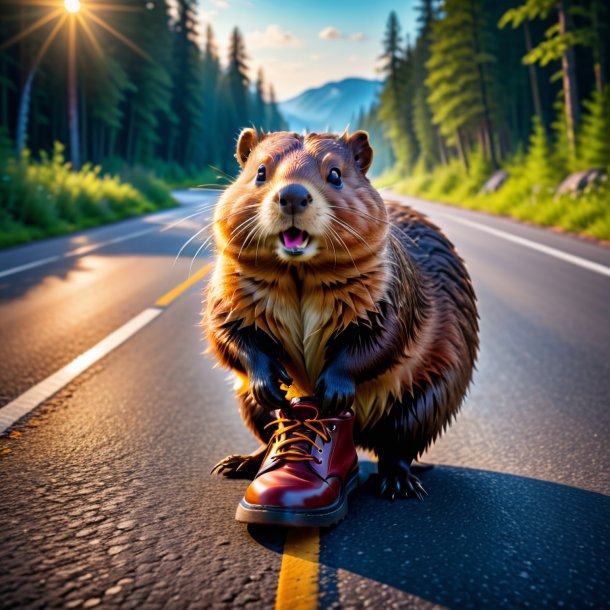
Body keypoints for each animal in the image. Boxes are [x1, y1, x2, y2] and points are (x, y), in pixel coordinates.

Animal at [207, 129, 478, 498]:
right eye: (260, 172)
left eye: (335, 174)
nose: (292, 196)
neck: (299, 274)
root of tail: (360, 437)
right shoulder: (228, 286)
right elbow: (225, 330)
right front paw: (269, 381)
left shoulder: (391, 287)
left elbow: (382, 338)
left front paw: (332, 390)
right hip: (249, 406)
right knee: (269, 432)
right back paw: (239, 463)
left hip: (426, 400)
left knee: (398, 445)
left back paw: (399, 482)